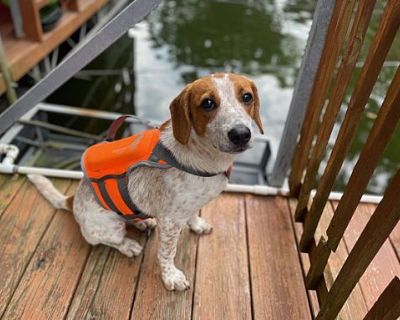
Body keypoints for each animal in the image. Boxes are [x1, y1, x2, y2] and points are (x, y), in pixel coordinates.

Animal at [29, 72, 264, 290]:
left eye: (247, 97)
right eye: (207, 103)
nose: (241, 134)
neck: (206, 157)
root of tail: (72, 202)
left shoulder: (188, 205)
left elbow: (192, 216)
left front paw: (197, 225)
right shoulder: (170, 221)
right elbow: (167, 253)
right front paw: (171, 277)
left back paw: (143, 222)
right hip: (109, 229)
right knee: (106, 240)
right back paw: (128, 245)